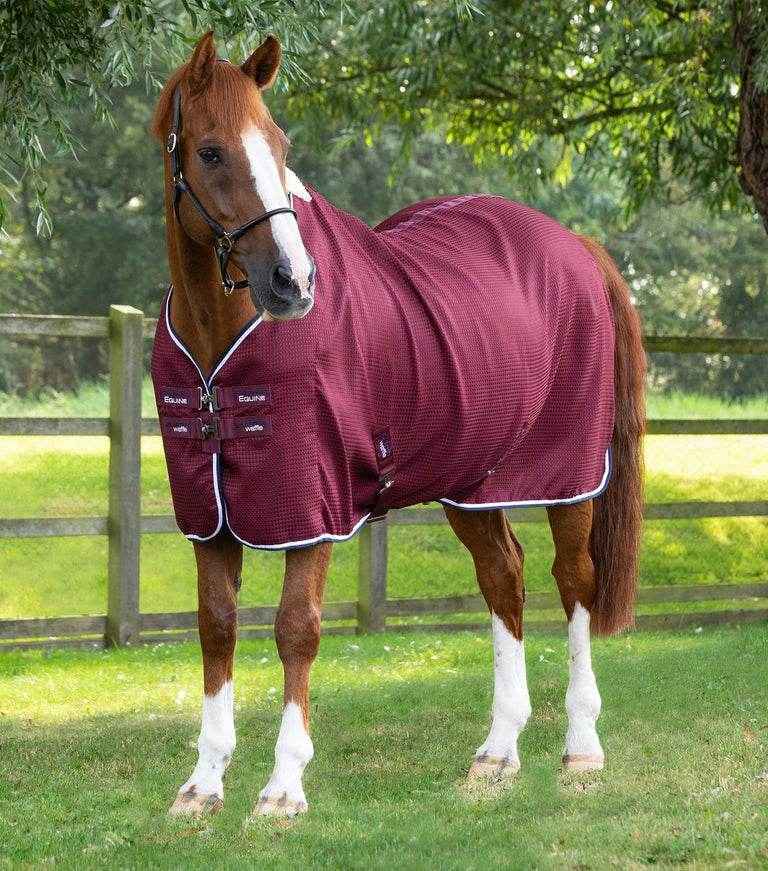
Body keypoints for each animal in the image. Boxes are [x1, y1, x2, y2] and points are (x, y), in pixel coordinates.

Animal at [150, 32, 645, 818]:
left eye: (280, 144)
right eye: (210, 151)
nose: (293, 281)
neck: (218, 342)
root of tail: (574, 243)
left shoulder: (309, 508)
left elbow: (296, 628)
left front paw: (283, 786)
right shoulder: (212, 514)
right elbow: (216, 627)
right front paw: (203, 783)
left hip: (567, 476)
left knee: (574, 583)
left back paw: (581, 745)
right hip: (473, 481)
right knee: (504, 576)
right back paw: (497, 751)